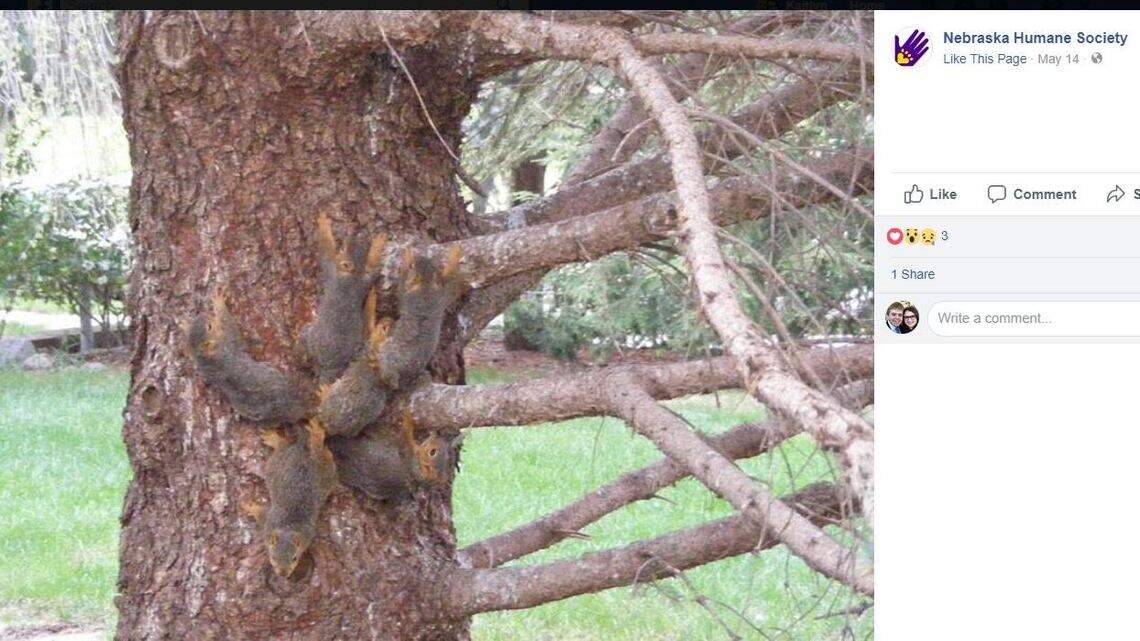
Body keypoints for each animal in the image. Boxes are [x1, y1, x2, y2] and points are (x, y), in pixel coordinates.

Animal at [186, 294, 314, 424]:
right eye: (209, 327)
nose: (203, 313)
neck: (206, 356)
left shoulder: (205, 368)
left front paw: (183, 325)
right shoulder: (228, 344)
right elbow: (230, 326)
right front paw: (218, 301)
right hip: (278, 377)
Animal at [245, 420, 337, 578]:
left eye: (295, 558)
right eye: (273, 557)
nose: (283, 574)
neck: (288, 527)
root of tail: (305, 453)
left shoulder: (307, 535)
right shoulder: (269, 522)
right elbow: (262, 514)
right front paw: (250, 507)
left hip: (322, 472)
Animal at [298, 214, 387, 384]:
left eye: (344, 249)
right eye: (360, 247)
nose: (363, 233)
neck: (351, 276)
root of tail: (329, 366)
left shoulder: (331, 271)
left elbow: (325, 250)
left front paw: (323, 221)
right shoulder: (361, 280)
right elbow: (372, 272)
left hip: (311, 338)